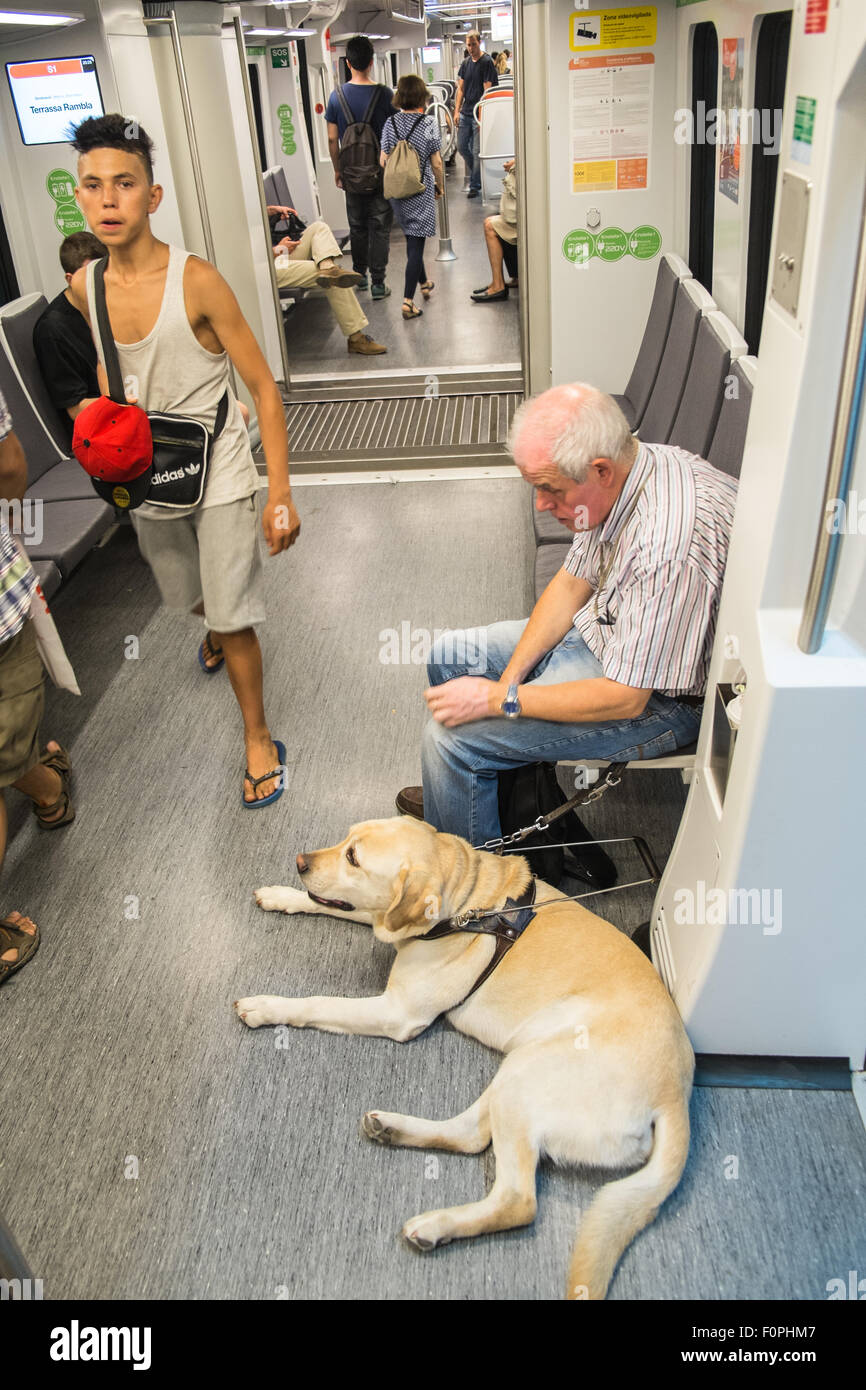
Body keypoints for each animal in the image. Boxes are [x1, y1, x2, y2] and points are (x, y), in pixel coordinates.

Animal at [233, 817, 695, 1295]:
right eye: (346, 838)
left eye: (354, 859)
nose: (300, 862)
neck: (468, 904)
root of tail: (676, 1095)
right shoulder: (385, 920)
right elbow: (344, 908)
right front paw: (281, 894)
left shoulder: (396, 1013)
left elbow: (319, 1003)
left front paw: (269, 1007)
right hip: (519, 1067)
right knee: (472, 1134)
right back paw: (394, 1129)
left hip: (532, 1068)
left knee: (517, 1200)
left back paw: (438, 1224)